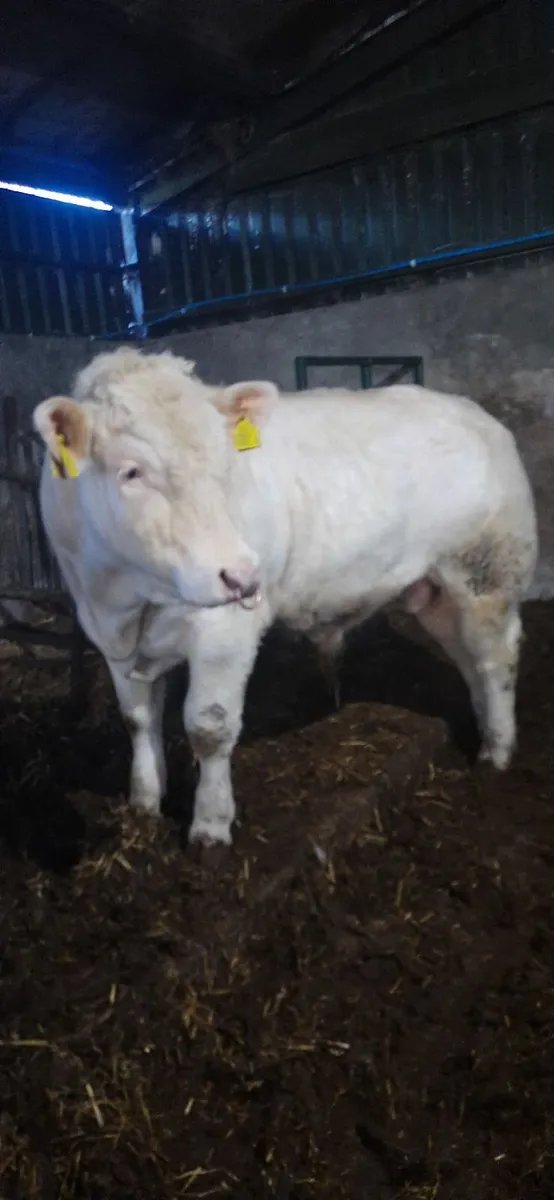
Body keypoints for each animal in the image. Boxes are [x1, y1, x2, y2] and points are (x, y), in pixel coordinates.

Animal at [33, 348, 538, 847]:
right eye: (131, 471)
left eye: (226, 464)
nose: (242, 576)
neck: (125, 598)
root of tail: (473, 412)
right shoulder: (108, 636)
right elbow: (137, 719)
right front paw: (143, 805)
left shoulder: (225, 632)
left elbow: (208, 726)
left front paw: (210, 828)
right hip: (436, 593)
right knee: (470, 659)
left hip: (486, 571)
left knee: (496, 658)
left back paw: (496, 753)